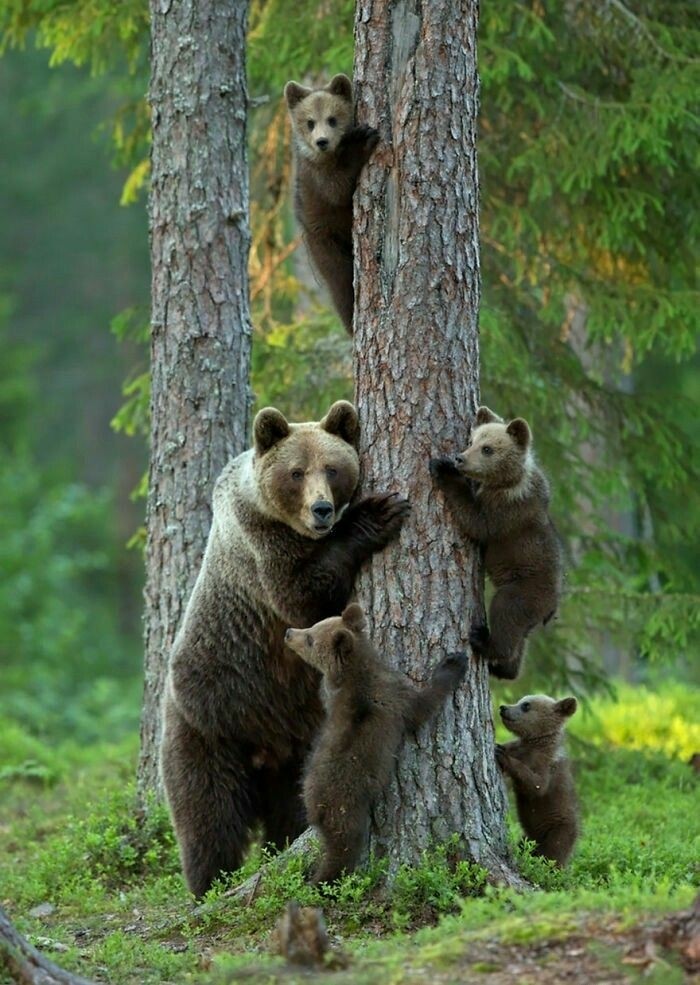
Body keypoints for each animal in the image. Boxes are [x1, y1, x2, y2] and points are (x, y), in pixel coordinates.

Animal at [160, 400, 410, 897]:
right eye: (296, 472)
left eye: (332, 468)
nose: (322, 509)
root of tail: (264, 749)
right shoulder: (261, 547)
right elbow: (301, 598)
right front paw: (377, 513)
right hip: (208, 723)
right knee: (208, 816)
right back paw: (208, 885)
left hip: (299, 746)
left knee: (291, 810)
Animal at [284, 73, 379, 334]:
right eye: (310, 122)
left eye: (332, 119)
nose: (322, 141)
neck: (330, 156)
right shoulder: (316, 177)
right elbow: (337, 189)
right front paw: (361, 140)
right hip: (325, 242)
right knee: (341, 284)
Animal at [285, 603, 468, 884]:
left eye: (310, 636)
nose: (288, 632)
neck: (354, 670)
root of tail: (315, 806)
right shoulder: (394, 698)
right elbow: (422, 706)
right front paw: (453, 663)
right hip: (347, 808)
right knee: (344, 848)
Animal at [429, 405, 562, 680]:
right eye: (471, 441)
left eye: (488, 449)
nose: (459, 458)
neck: (509, 480)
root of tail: (552, 608)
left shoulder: (507, 511)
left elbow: (477, 522)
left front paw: (443, 468)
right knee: (521, 640)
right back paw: (505, 669)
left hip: (525, 589)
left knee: (506, 613)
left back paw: (484, 641)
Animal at [496, 694, 579, 867]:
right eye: (520, 701)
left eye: (526, 705)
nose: (503, 707)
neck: (536, 743)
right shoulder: (519, 747)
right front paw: (498, 746)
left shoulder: (546, 765)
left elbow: (536, 785)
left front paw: (503, 757)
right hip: (528, 837)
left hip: (559, 830)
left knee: (554, 855)